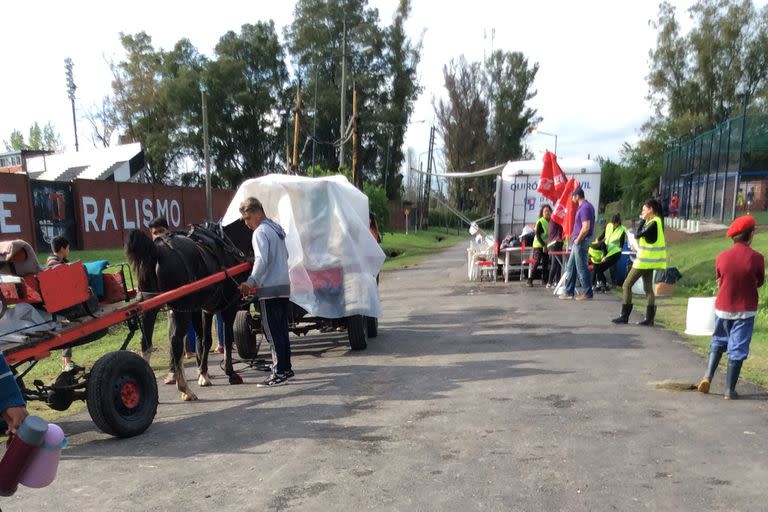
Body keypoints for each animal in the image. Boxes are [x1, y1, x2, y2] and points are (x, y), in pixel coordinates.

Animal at [125, 226, 246, 402]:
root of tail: (157, 249)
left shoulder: (203, 309)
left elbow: (204, 340)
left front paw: (203, 373)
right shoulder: (229, 306)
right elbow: (228, 339)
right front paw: (230, 373)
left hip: (150, 307)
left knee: (146, 342)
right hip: (180, 310)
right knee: (175, 342)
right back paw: (185, 389)